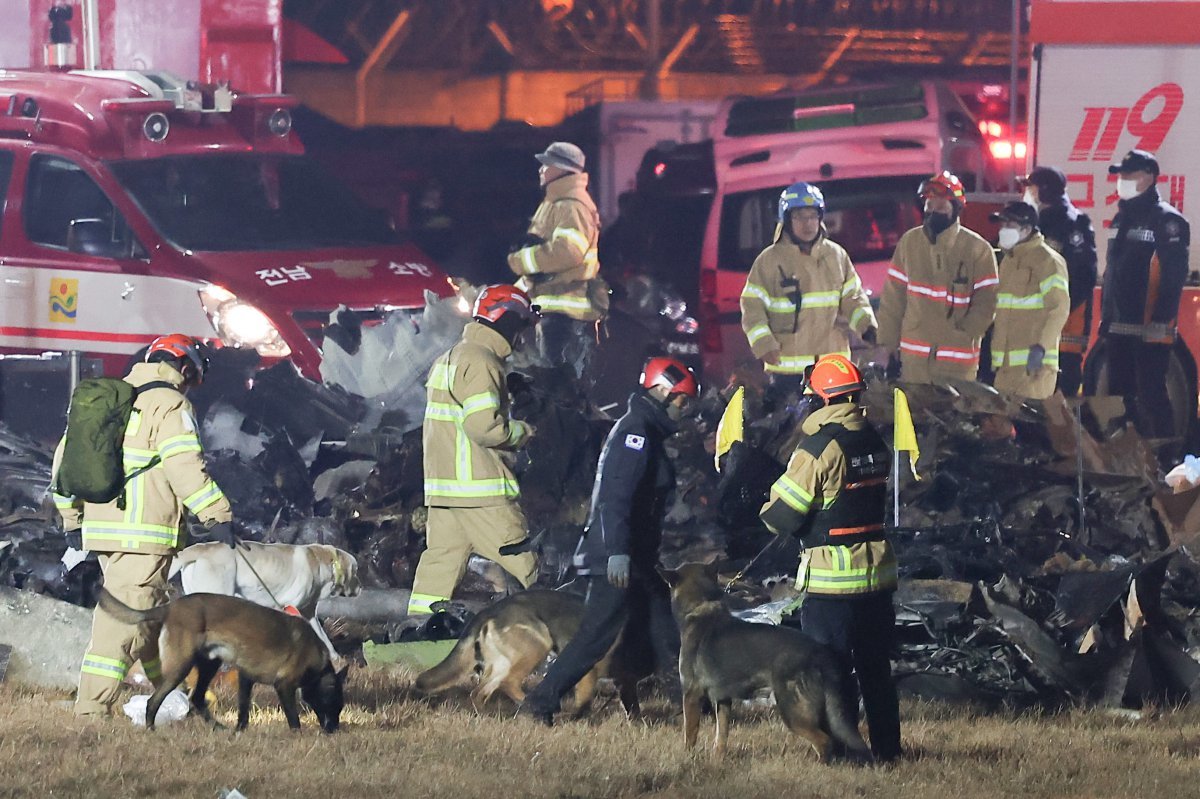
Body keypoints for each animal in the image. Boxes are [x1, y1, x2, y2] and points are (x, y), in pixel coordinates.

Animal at [97, 587, 348, 729]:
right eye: (334, 704)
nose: (333, 730)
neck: (318, 664)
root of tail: (171, 606)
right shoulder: (284, 685)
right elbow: (293, 718)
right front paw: (297, 734)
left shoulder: (246, 677)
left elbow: (243, 711)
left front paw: (239, 732)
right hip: (181, 666)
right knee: (154, 701)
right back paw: (151, 729)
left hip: (210, 664)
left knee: (197, 699)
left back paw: (218, 728)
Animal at [169, 542, 357, 657]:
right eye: (356, 571)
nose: (360, 588)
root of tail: (199, 548)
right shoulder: (287, 609)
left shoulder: (308, 613)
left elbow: (323, 637)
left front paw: (335, 657)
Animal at [657, 559, 873, 758]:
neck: (700, 606)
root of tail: (819, 652)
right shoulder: (723, 700)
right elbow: (721, 736)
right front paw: (718, 759)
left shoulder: (691, 695)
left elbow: (689, 734)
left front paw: (687, 758)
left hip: (792, 712)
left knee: (824, 741)